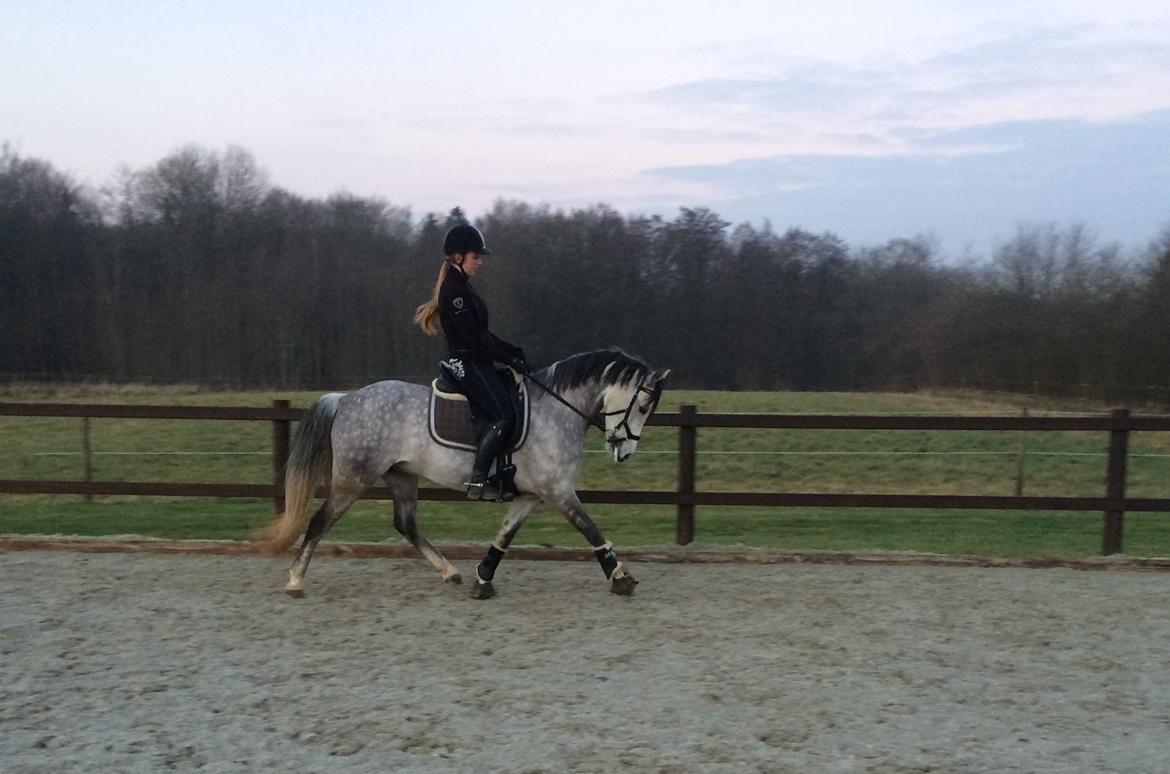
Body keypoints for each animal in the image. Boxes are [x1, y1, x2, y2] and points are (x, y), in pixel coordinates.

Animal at [257, 349, 670, 599]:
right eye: (643, 406)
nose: (624, 450)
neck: (556, 410)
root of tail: (347, 398)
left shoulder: (532, 495)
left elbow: (504, 535)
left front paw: (482, 578)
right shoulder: (557, 491)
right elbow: (591, 529)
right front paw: (621, 577)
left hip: (400, 475)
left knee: (406, 523)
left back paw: (449, 572)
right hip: (353, 478)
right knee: (319, 521)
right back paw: (295, 580)